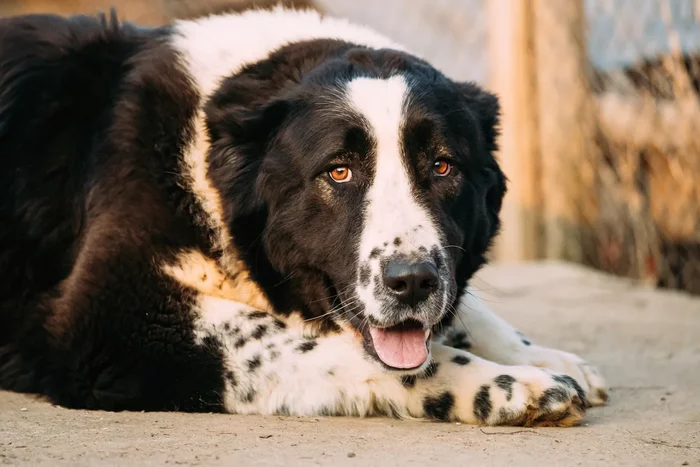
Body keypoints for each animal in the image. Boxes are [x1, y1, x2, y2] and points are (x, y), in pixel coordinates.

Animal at [0, 5, 608, 426]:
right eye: (338, 172)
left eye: (442, 166)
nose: (412, 281)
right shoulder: (108, 321)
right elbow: (328, 345)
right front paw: (509, 384)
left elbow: (464, 309)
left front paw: (542, 356)